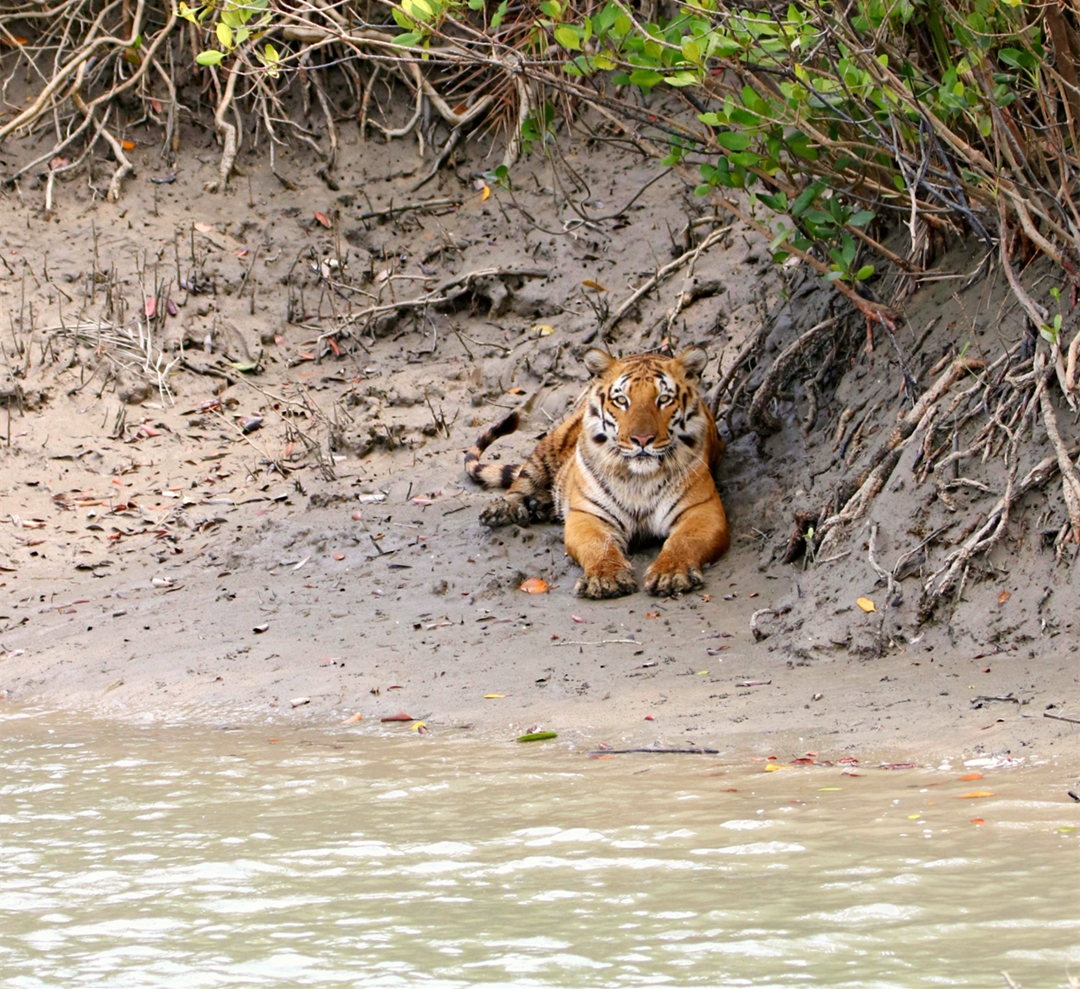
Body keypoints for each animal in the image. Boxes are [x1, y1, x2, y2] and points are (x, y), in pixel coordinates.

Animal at [462, 347, 725, 595]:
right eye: (622, 400)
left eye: (664, 399)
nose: (642, 439)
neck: (639, 478)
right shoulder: (588, 514)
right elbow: (598, 545)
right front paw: (605, 578)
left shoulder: (702, 510)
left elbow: (682, 541)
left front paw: (670, 574)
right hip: (549, 445)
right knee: (521, 483)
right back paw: (504, 509)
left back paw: (540, 505)